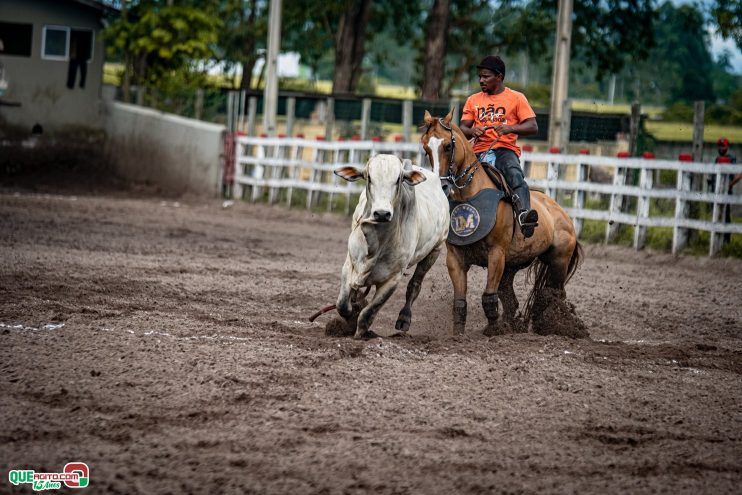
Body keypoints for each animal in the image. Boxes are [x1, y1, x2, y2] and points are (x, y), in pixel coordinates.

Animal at [332, 155, 450, 340]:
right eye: (369, 177)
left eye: (398, 179)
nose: (381, 213)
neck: (377, 242)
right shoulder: (349, 264)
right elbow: (343, 304)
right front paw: (352, 311)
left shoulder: (393, 279)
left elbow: (368, 313)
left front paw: (360, 334)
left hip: (434, 251)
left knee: (414, 285)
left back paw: (404, 318)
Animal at [422, 110, 588, 340]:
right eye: (426, 148)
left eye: (447, 146)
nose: (442, 185)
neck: (471, 195)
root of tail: (561, 213)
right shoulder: (455, 258)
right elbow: (460, 302)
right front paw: (459, 335)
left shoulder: (496, 254)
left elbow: (488, 298)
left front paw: (494, 331)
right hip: (511, 268)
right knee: (512, 300)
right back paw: (514, 326)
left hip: (558, 261)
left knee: (554, 294)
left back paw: (558, 326)